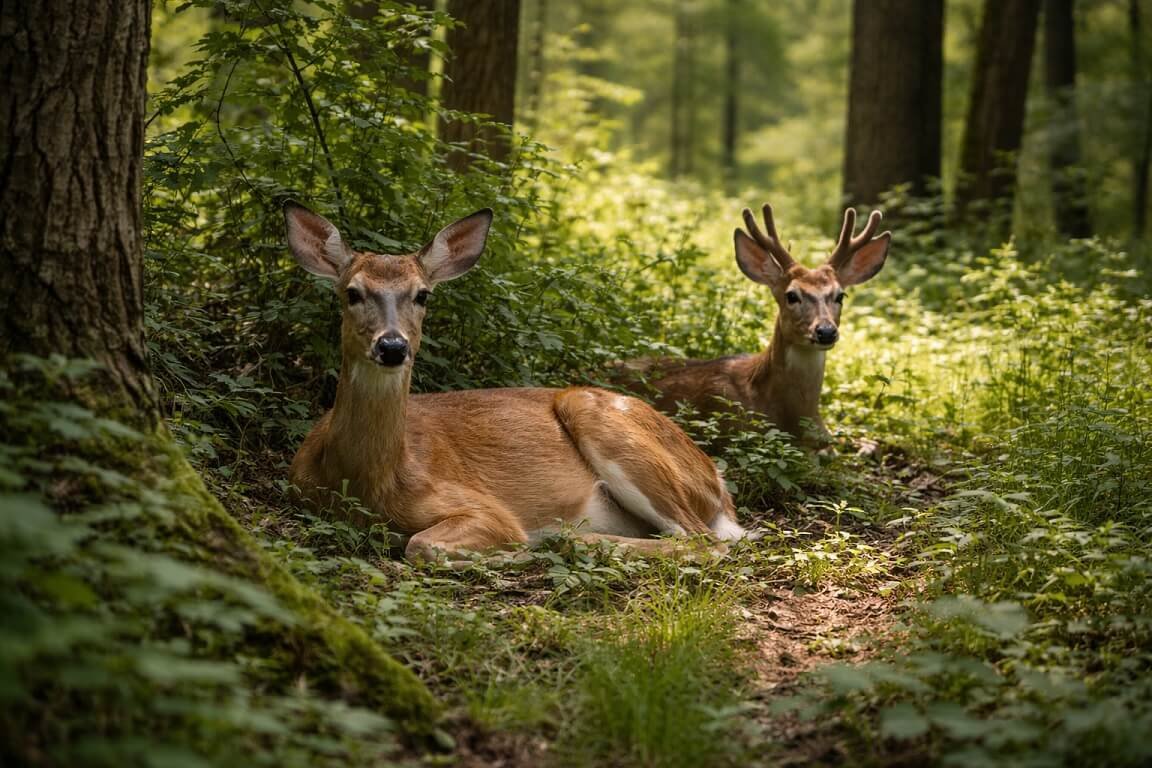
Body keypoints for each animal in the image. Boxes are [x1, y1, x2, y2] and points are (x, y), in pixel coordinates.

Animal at [284, 202, 747, 562]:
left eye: (422, 294)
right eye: (352, 293)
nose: (393, 346)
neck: (367, 480)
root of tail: (717, 483)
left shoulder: (486, 508)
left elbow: (423, 545)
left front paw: (515, 552)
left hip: (607, 424)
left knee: (706, 542)